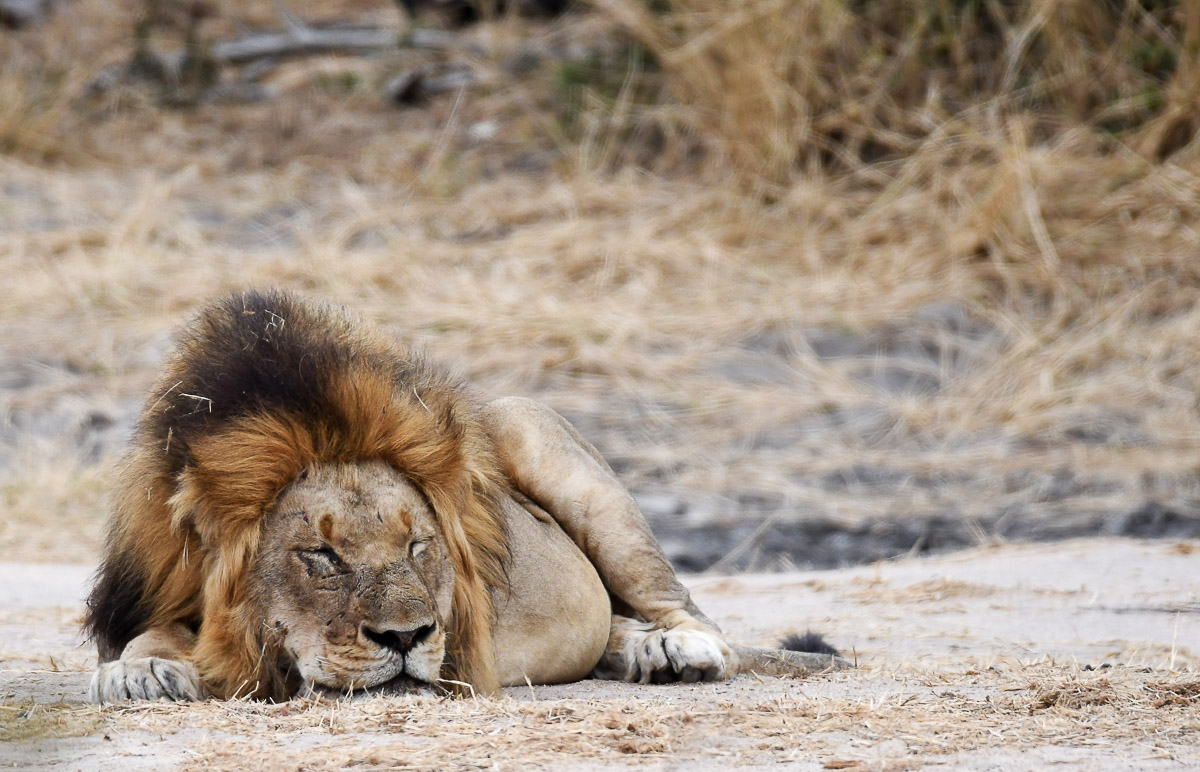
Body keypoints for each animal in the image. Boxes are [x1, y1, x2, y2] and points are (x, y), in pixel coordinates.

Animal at [84, 290, 845, 702]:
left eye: (420, 543)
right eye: (320, 555)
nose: (407, 638)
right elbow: (153, 635)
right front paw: (142, 670)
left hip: (530, 428)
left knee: (695, 619)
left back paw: (678, 652)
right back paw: (639, 651)